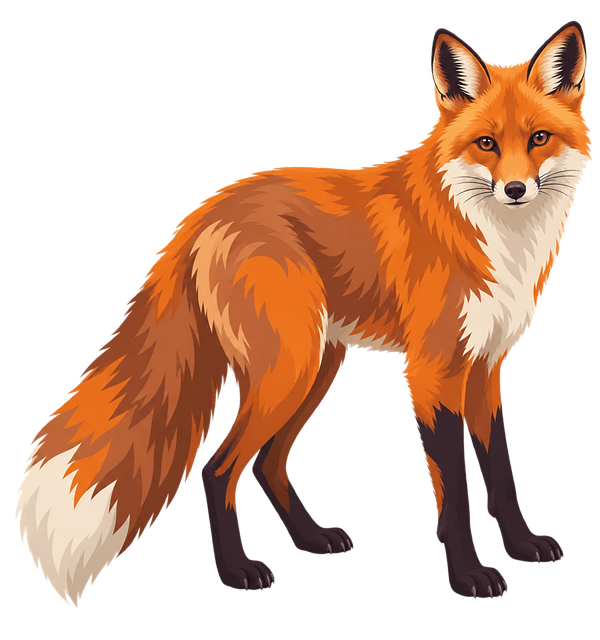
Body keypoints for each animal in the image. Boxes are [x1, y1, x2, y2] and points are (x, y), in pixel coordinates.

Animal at [14, 20, 590, 603]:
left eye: (539, 138)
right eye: (486, 143)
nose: (515, 189)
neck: (495, 238)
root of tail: (204, 210)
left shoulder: (485, 364)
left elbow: (497, 462)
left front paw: (522, 547)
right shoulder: (434, 369)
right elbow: (452, 482)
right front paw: (470, 574)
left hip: (315, 365)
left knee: (265, 462)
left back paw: (312, 539)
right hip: (289, 366)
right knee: (217, 468)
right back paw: (237, 571)